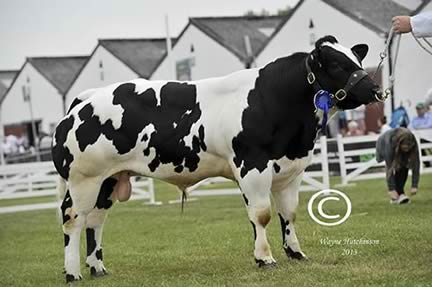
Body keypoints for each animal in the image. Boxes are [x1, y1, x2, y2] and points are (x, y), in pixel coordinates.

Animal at [52, 36, 384, 284]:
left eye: (356, 60)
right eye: (337, 64)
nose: (376, 89)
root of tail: (85, 99)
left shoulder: (291, 171)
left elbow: (289, 214)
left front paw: (296, 253)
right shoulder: (252, 166)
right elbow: (262, 214)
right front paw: (265, 258)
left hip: (108, 179)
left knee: (95, 220)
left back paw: (98, 268)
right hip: (84, 180)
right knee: (73, 219)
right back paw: (73, 273)